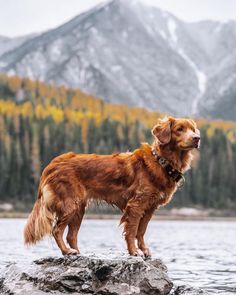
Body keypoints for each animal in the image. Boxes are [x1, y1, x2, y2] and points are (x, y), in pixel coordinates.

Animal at [24, 116, 200, 256]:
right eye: (179, 129)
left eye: (192, 129)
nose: (197, 138)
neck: (161, 162)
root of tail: (53, 163)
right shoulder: (136, 205)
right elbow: (132, 231)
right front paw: (134, 252)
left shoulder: (150, 208)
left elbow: (141, 231)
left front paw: (144, 250)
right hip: (70, 204)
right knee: (56, 230)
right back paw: (67, 251)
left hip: (79, 208)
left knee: (71, 235)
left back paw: (77, 253)